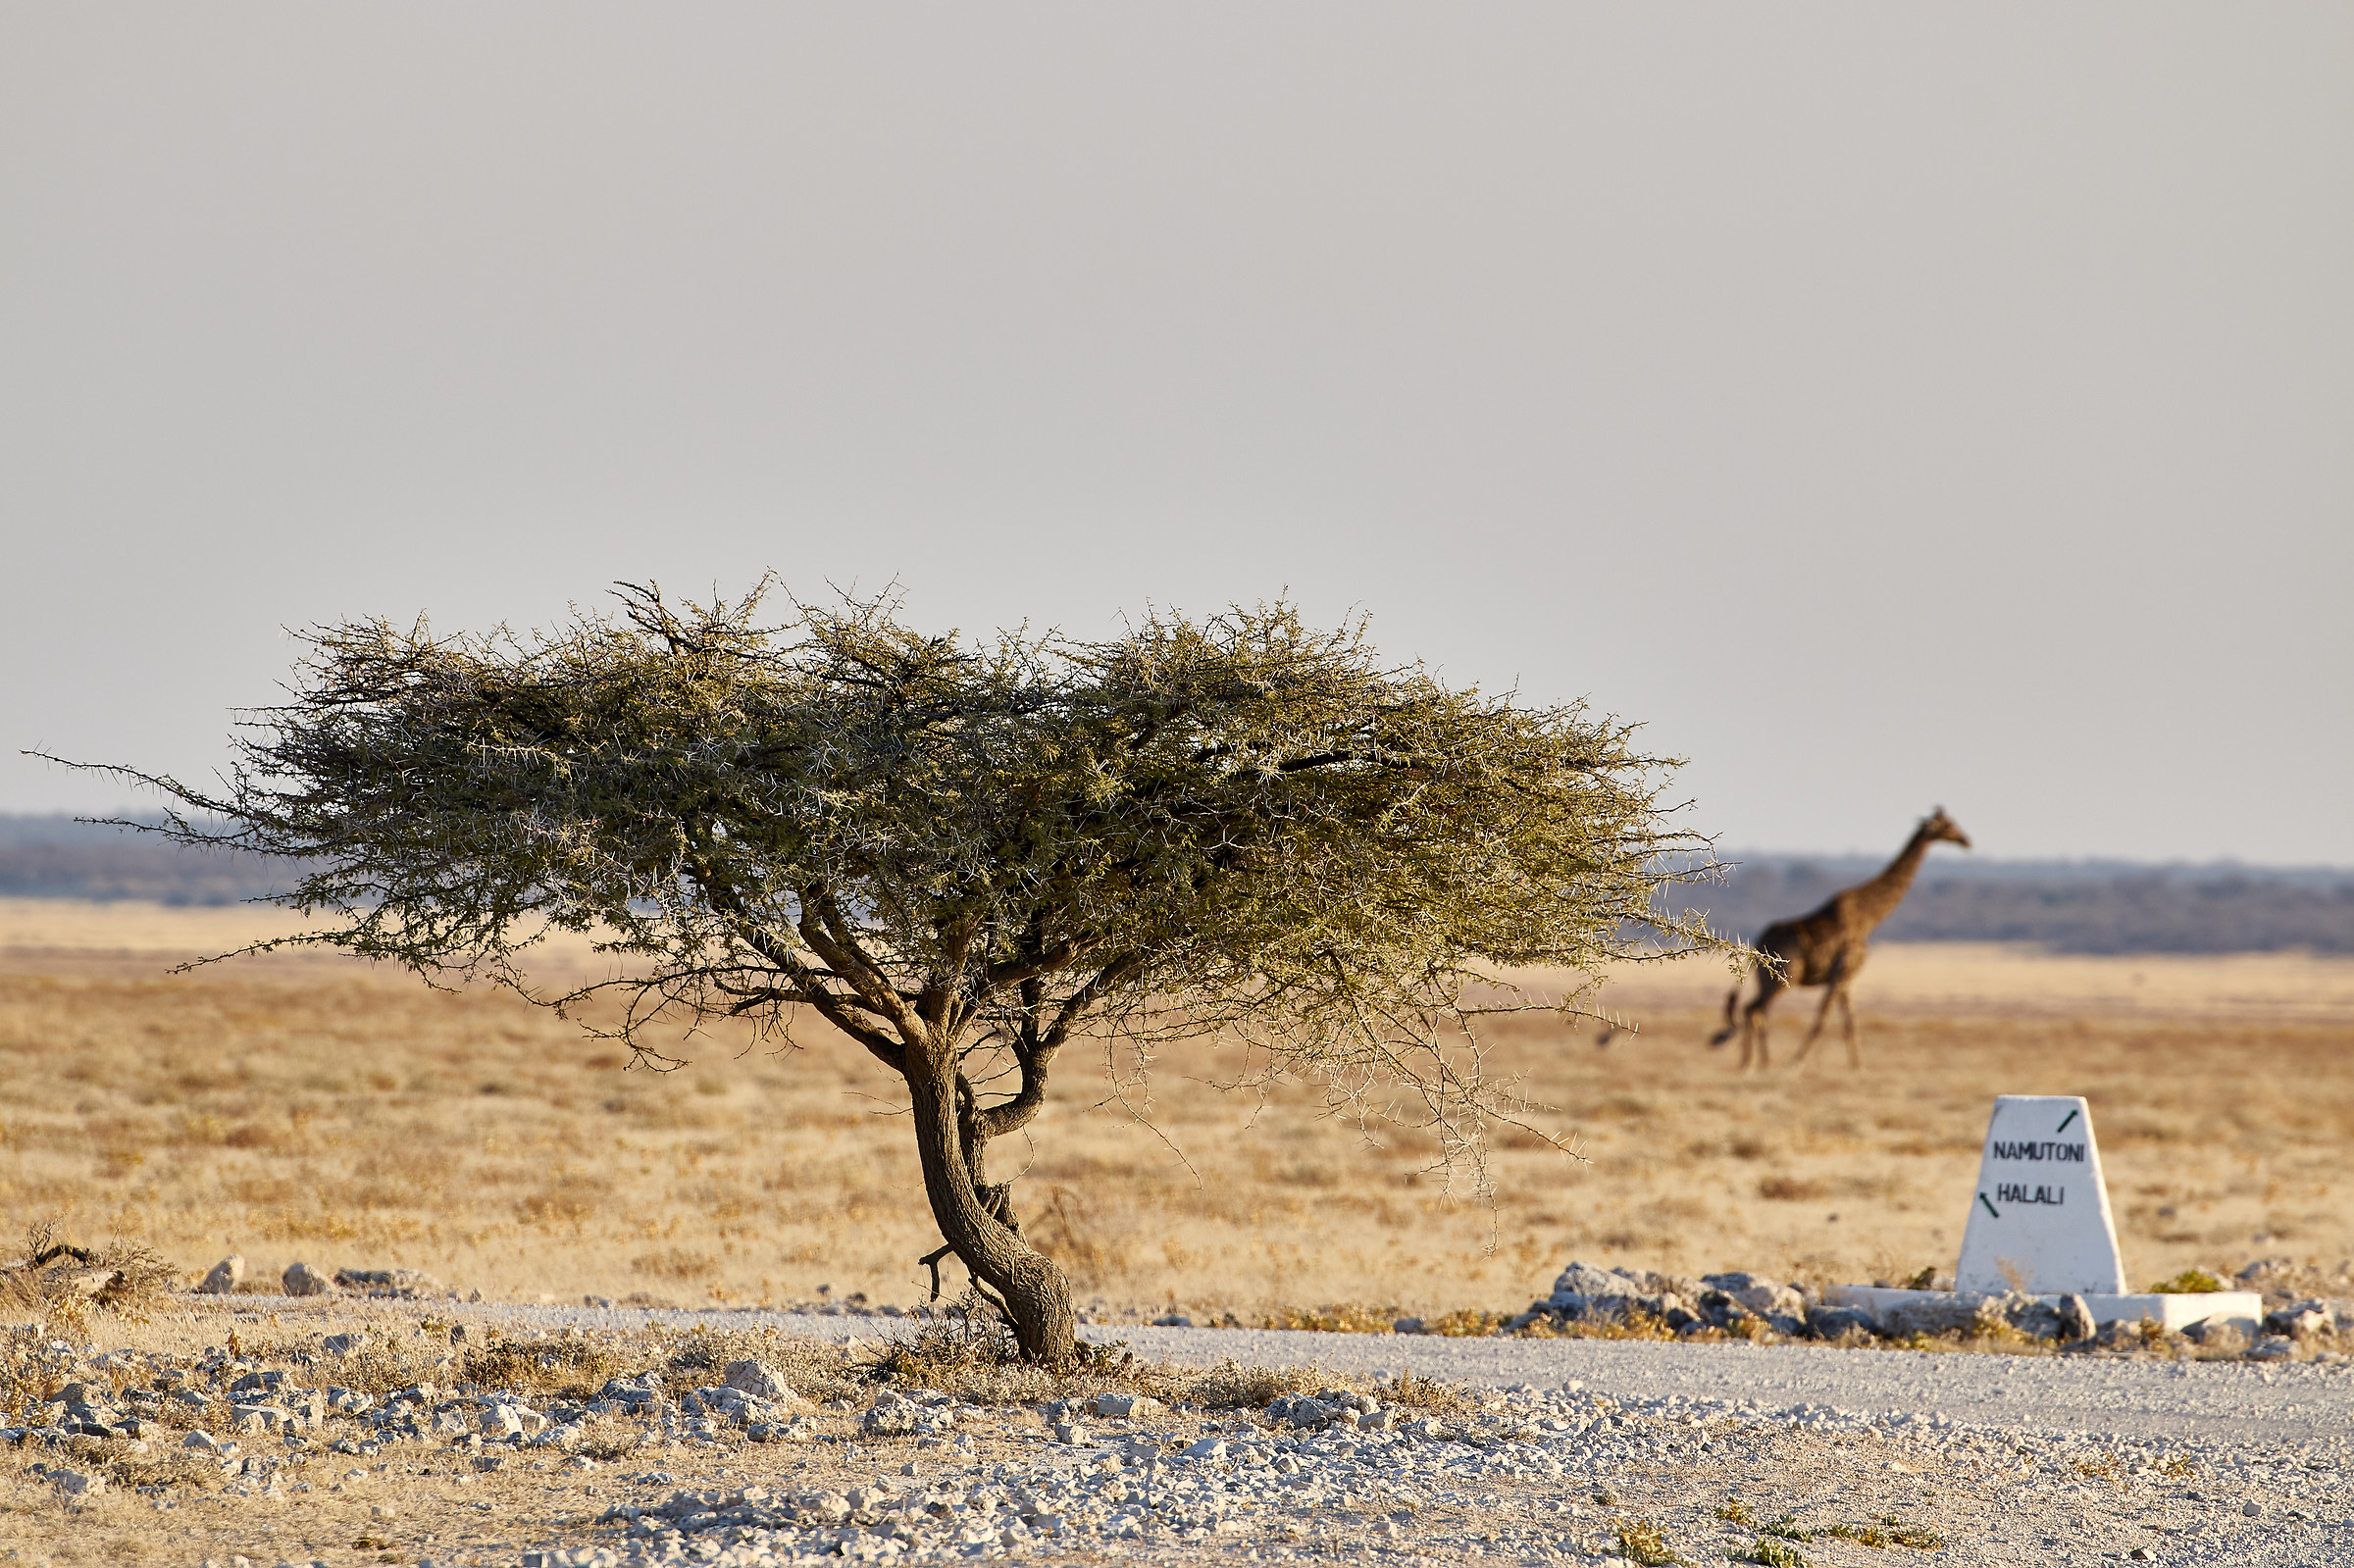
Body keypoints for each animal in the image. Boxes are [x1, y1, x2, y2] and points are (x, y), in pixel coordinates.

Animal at [1708, 808, 1971, 1071]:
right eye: (1948, 825)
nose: (1966, 841)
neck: (1869, 918)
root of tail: (1757, 943)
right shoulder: (1842, 973)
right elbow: (1822, 1020)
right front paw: (1796, 1063)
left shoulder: (1847, 979)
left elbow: (1850, 1023)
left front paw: (1858, 1067)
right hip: (1783, 977)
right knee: (1755, 1010)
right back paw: (1757, 1064)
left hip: (1766, 978)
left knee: (1752, 1010)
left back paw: (1755, 1063)